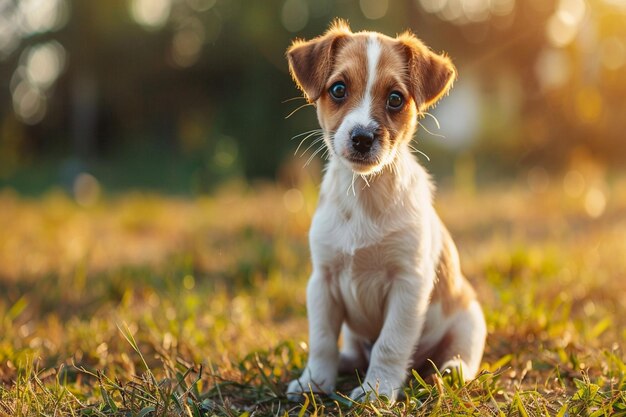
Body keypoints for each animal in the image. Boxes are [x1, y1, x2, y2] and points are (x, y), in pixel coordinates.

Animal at [286, 21, 486, 402]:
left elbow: (390, 344)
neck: (365, 195)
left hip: (469, 319)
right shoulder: (323, 281)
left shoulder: (408, 285)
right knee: (350, 350)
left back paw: (448, 370)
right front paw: (314, 382)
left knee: (461, 356)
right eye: (338, 89)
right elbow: (322, 341)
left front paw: (375, 391)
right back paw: (345, 363)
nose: (362, 138)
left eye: (395, 98)